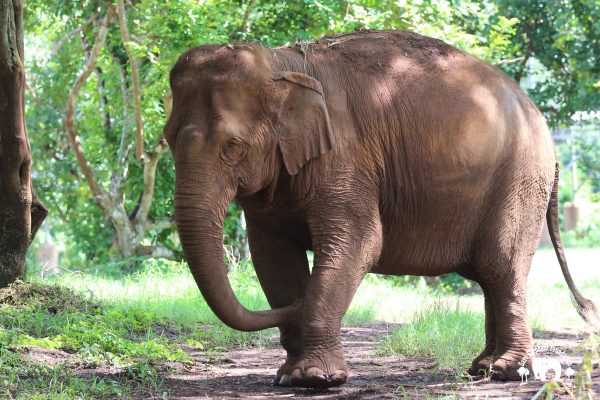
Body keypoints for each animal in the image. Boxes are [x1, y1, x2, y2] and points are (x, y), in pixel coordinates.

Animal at [163, 30, 596, 388]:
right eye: (167, 139)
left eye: (232, 147)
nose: (295, 313)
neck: (285, 63)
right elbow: (273, 258)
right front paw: (289, 375)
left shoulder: (345, 158)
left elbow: (360, 243)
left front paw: (314, 379)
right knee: (490, 274)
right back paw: (482, 368)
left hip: (520, 178)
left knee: (501, 266)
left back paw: (507, 372)